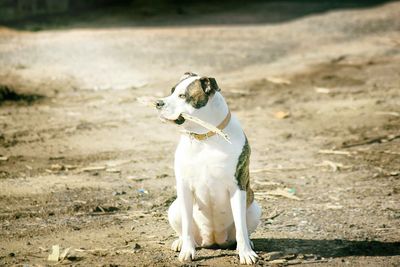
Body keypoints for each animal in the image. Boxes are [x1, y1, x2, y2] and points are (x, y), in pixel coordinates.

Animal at [156, 72, 262, 264]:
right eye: (172, 91)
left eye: (182, 96)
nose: (158, 103)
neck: (205, 137)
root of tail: (213, 239)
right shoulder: (184, 187)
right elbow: (187, 225)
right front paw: (187, 250)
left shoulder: (237, 187)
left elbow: (241, 226)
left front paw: (246, 253)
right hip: (174, 208)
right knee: (185, 229)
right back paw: (181, 242)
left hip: (254, 207)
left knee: (243, 230)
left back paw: (246, 244)